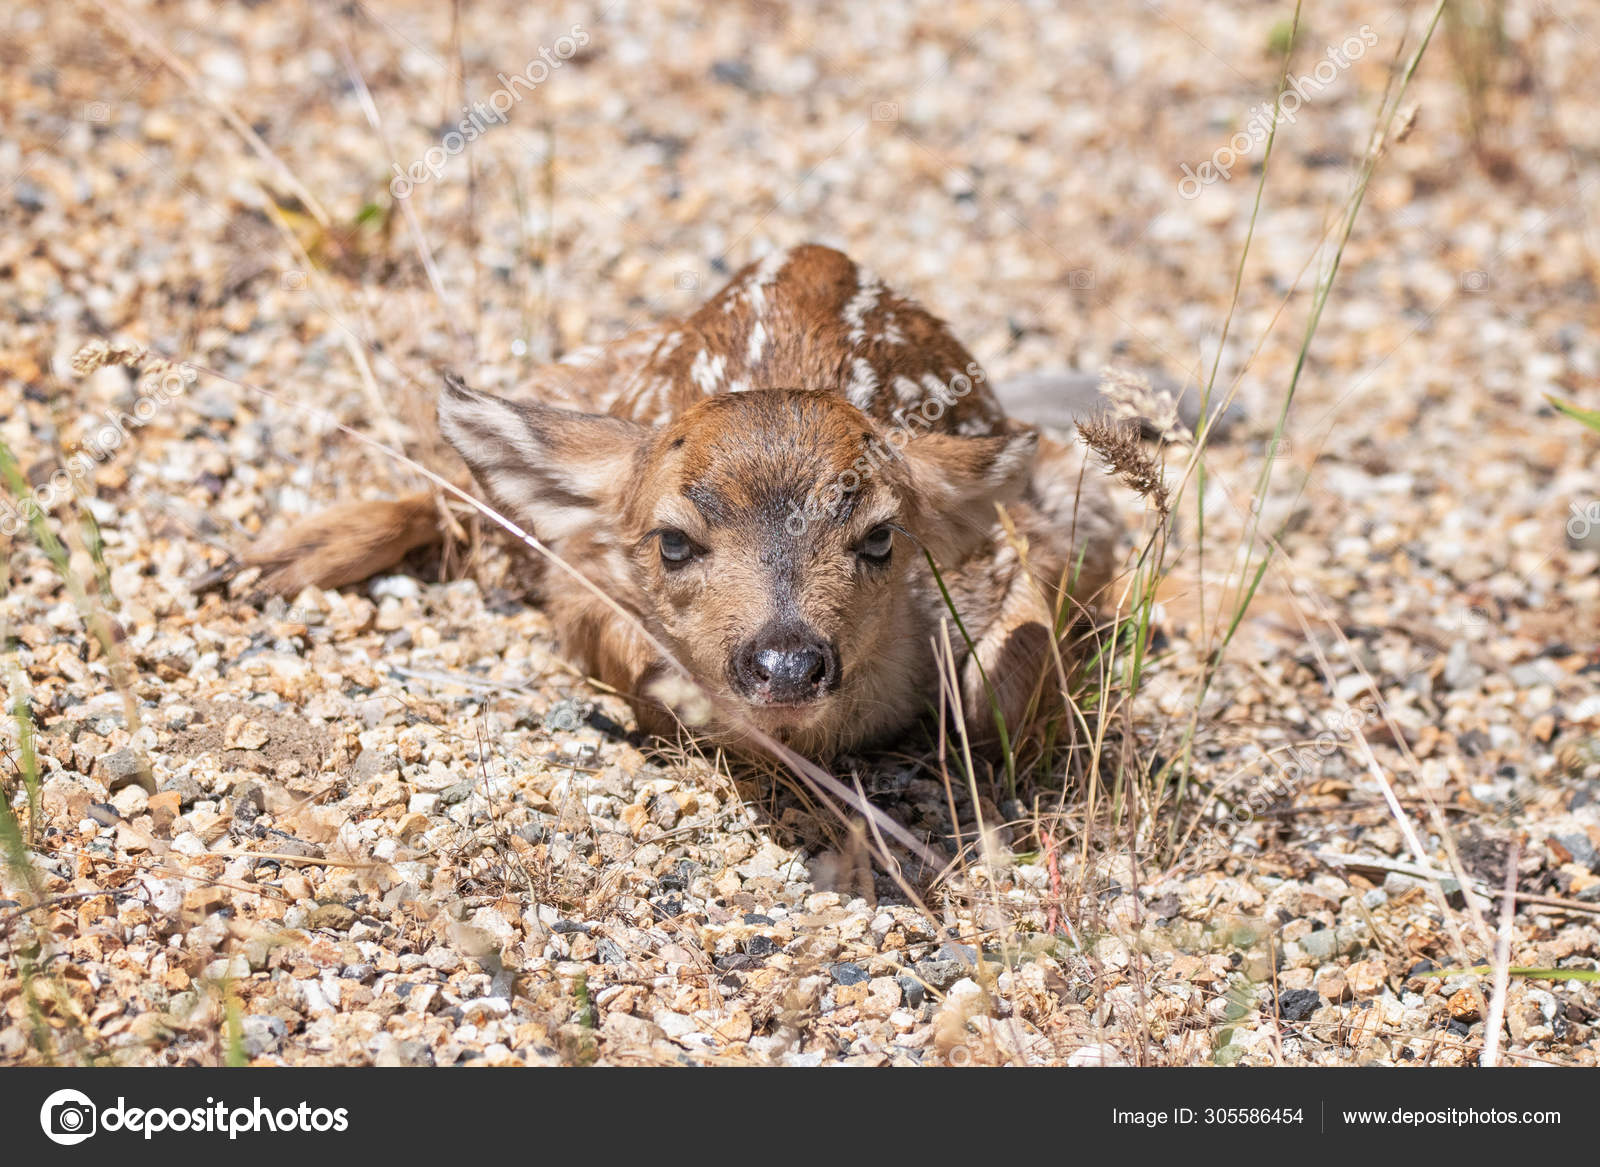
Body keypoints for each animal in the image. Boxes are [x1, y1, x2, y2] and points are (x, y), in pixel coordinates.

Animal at [245, 245, 1124, 759]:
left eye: (881, 538)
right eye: (673, 541)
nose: (786, 663)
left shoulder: (1023, 535)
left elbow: (994, 695)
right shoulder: (585, 569)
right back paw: (274, 560)